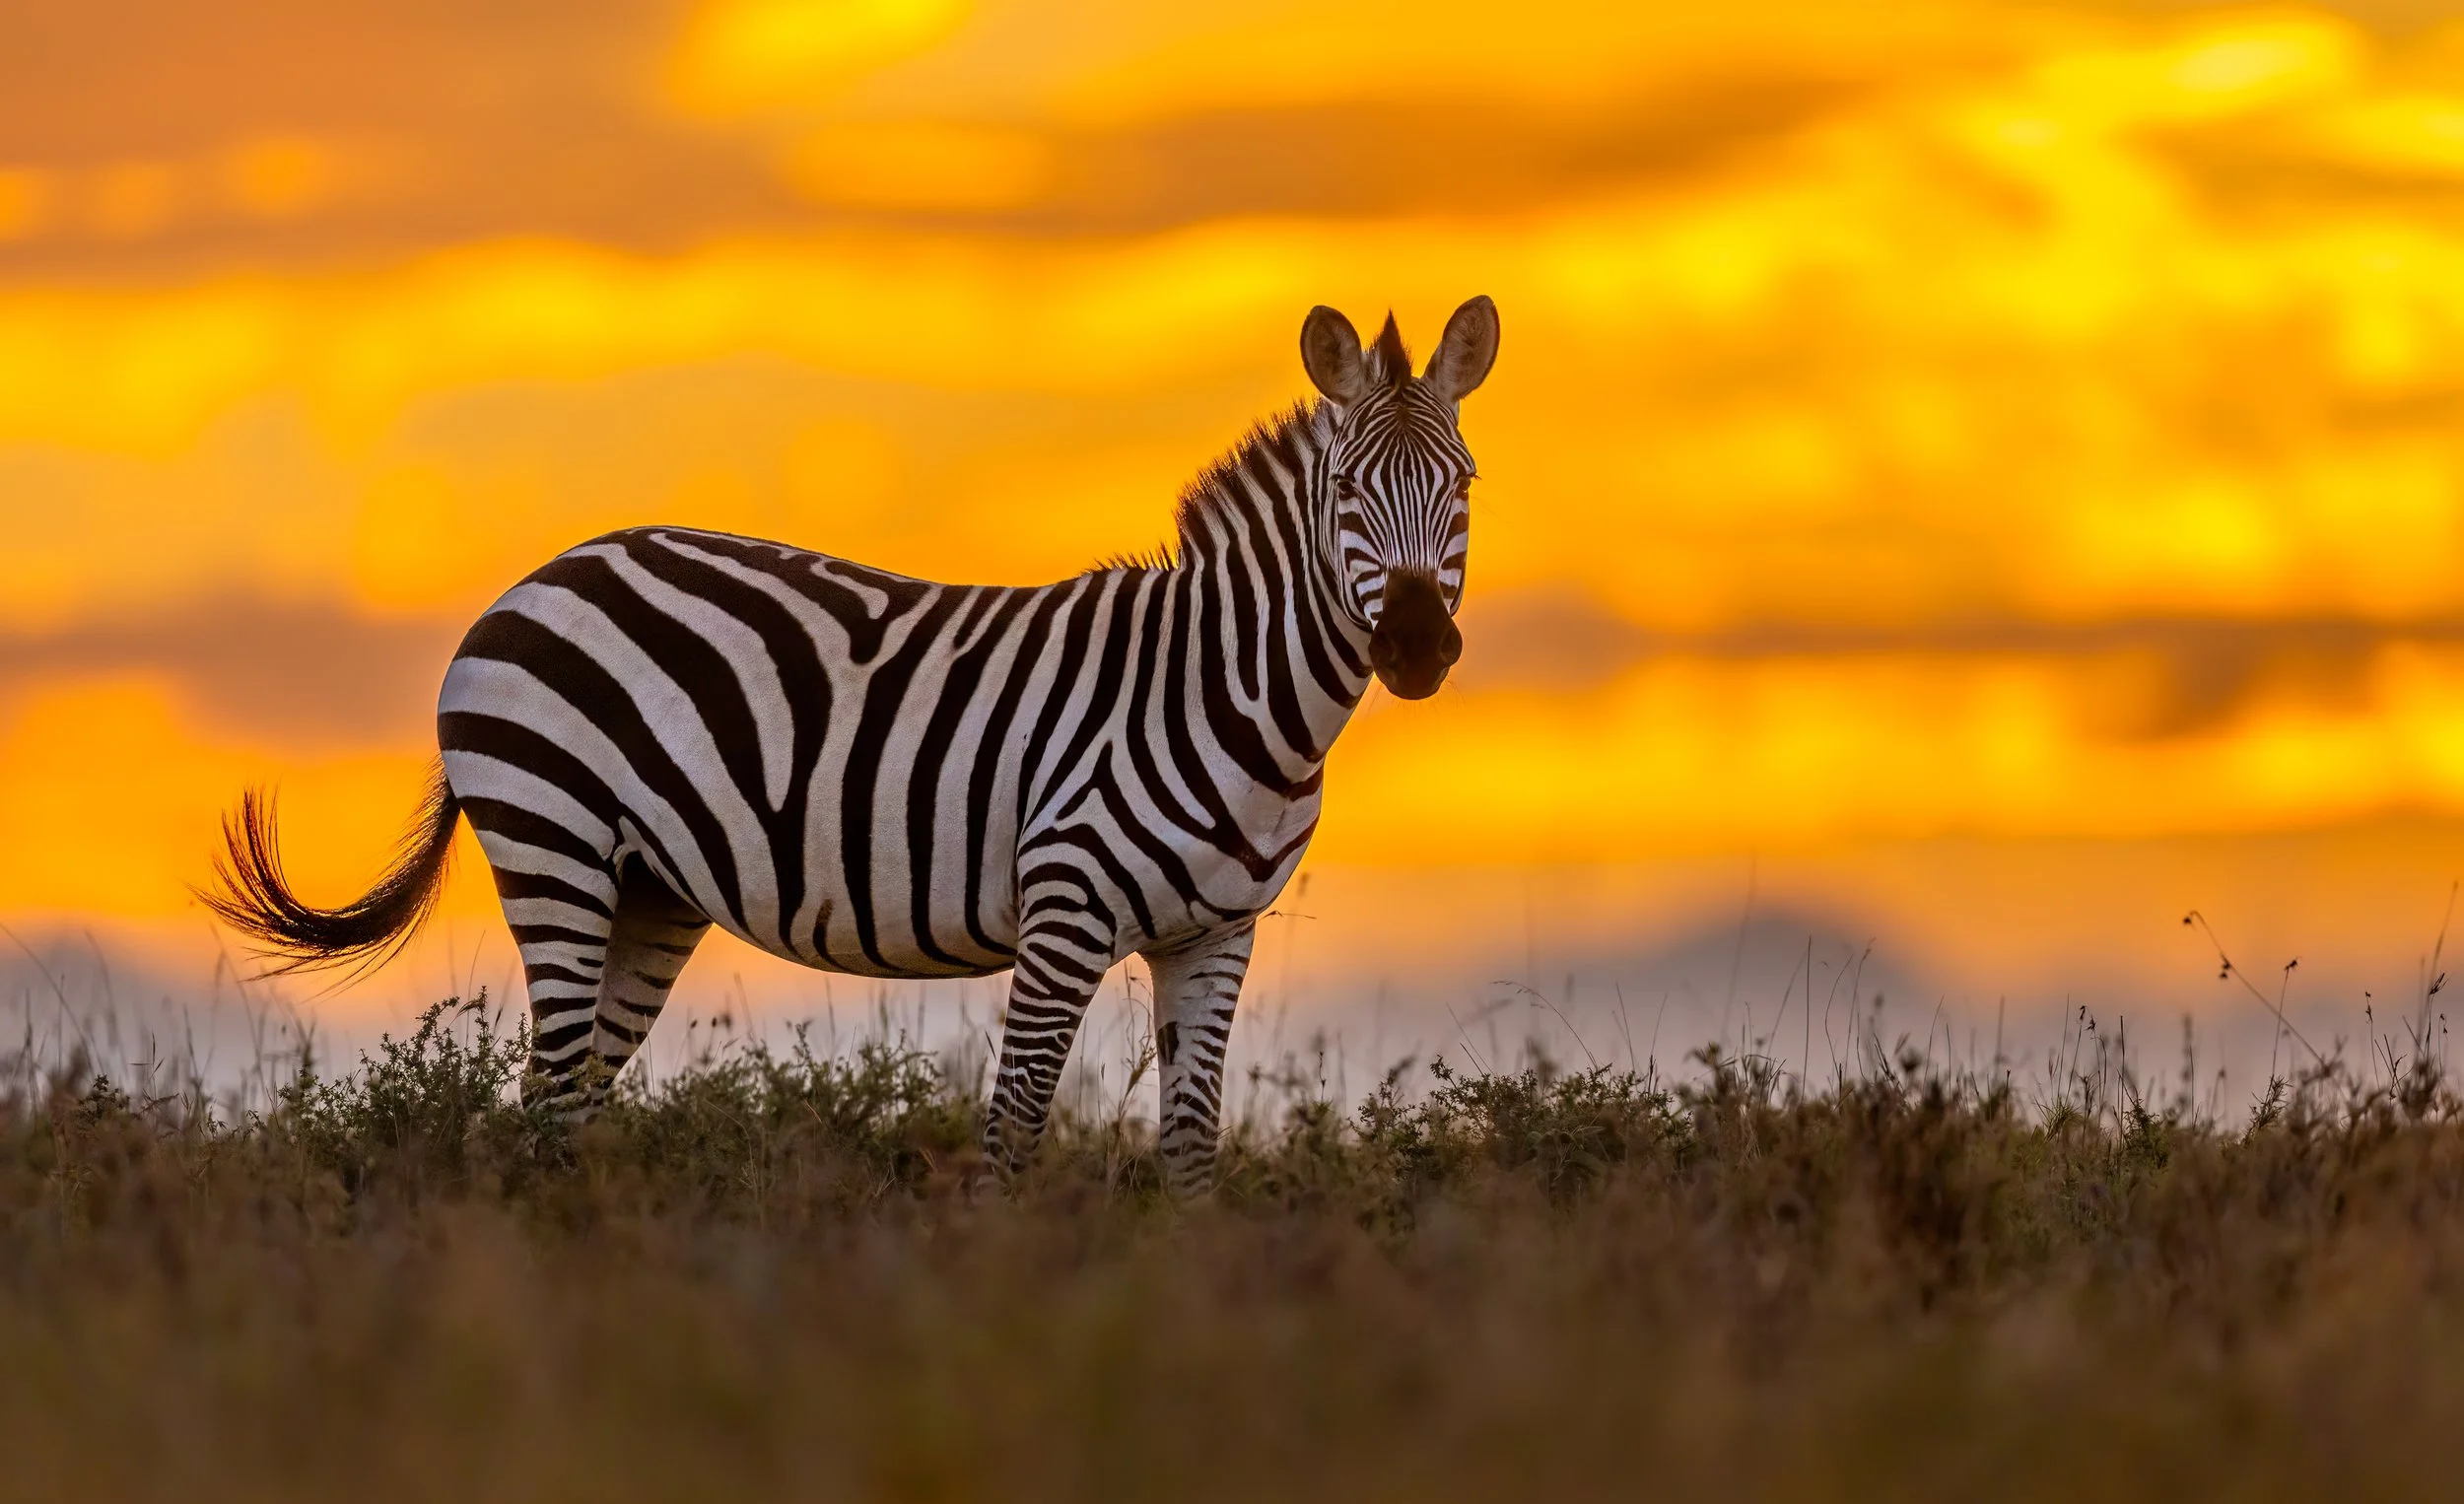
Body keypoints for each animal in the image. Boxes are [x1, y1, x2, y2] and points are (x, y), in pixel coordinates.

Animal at [203, 296, 1498, 1193]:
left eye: (1466, 483)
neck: (1232, 696)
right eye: (1346, 489)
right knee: (550, 1087)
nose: (1418, 647)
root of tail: (534, 578)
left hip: (645, 888)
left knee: (566, 1096)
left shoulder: (1214, 934)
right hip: (550, 840)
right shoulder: (1066, 904)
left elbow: (1189, 1143)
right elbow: (1014, 1122)